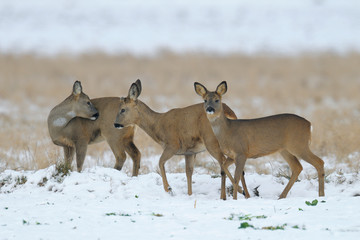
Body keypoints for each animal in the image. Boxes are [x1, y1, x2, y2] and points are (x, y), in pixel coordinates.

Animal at [114, 79, 249, 200]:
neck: (158, 125)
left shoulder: (173, 144)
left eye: (122, 109)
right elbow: (188, 172)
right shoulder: (190, 152)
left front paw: (168, 188)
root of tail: (229, 113)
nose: (115, 124)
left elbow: (160, 162)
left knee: (223, 162)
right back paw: (244, 194)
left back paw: (231, 193)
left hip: (211, 141)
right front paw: (189, 194)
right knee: (237, 165)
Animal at [195, 81, 324, 200]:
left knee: (319, 162)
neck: (227, 131)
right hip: (285, 149)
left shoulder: (241, 152)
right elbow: (225, 169)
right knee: (297, 167)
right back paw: (281, 196)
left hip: (299, 145)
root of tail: (309, 124)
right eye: (205, 100)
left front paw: (236, 198)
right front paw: (241, 193)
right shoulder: (232, 155)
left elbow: (237, 177)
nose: (209, 109)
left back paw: (321, 195)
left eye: (217, 100)